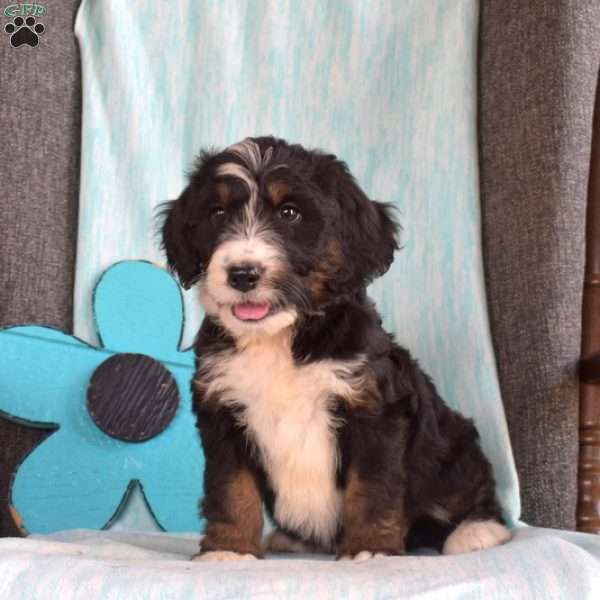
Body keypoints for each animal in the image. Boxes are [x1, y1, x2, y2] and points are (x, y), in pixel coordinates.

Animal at [161, 136, 510, 564]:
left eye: (290, 213)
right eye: (217, 213)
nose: (242, 274)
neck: (281, 339)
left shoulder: (373, 410)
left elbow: (371, 488)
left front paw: (371, 549)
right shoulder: (224, 412)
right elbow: (231, 489)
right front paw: (229, 550)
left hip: (452, 445)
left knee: (466, 490)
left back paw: (478, 531)